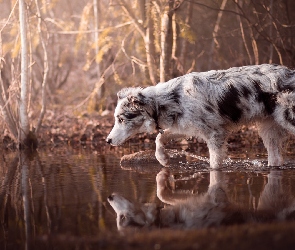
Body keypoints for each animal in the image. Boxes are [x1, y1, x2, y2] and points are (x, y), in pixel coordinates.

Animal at [106, 64, 295, 168]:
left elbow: (214, 165)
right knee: (276, 159)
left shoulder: (216, 134)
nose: (107, 140)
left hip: (288, 119)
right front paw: (163, 159)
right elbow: (160, 138)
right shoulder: (186, 127)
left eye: (121, 119)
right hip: (269, 130)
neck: (170, 100)